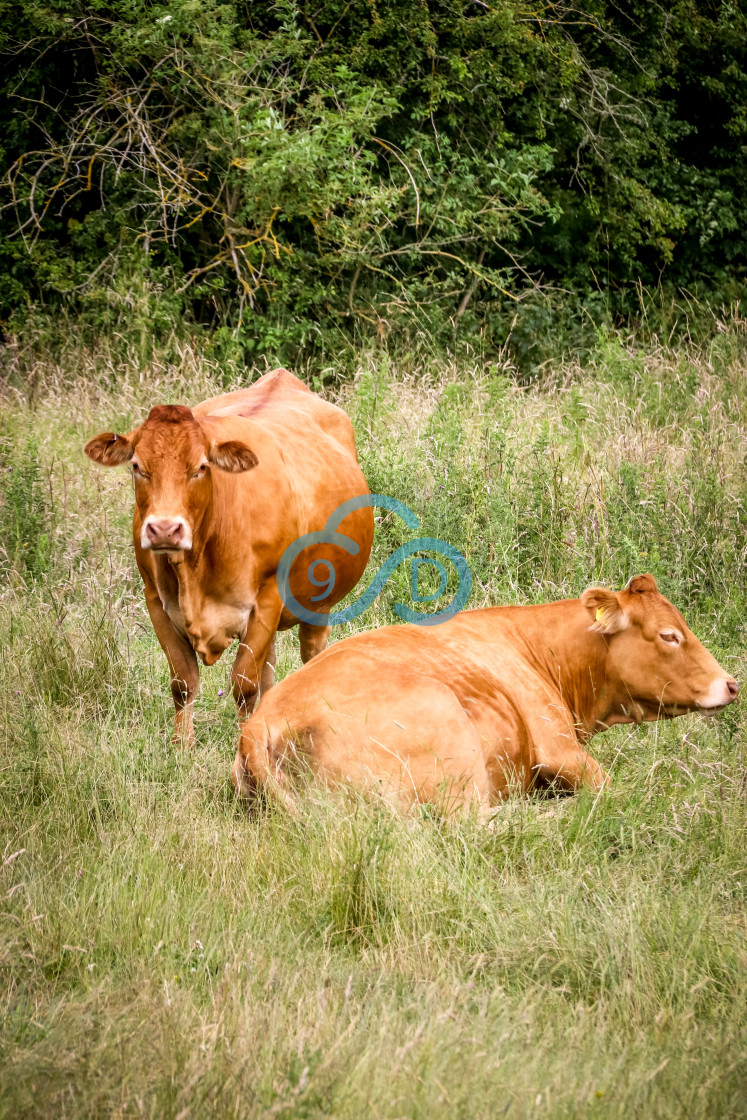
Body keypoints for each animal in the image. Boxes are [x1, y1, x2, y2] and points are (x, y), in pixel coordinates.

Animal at [85, 367, 374, 748]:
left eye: (201, 467)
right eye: (137, 466)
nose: (164, 529)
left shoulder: (267, 599)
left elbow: (243, 685)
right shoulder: (156, 602)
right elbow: (183, 682)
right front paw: (182, 746)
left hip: (318, 603)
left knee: (310, 654)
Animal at [236, 573, 739, 810]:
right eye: (669, 635)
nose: (732, 684)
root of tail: (261, 721)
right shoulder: (560, 747)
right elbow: (616, 791)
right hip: (449, 734)